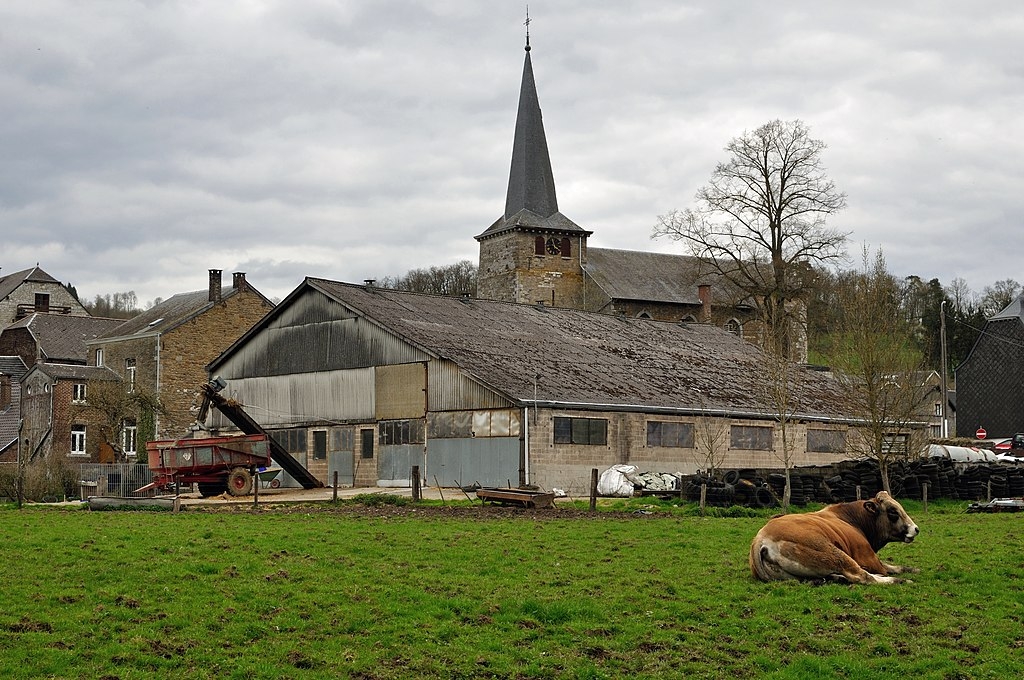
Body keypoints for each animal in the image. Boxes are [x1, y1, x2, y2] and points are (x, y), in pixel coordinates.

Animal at [753, 489, 921, 585]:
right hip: (834, 554)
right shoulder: (869, 559)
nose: (916, 529)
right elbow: (888, 569)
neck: (852, 518)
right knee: (864, 577)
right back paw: (899, 581)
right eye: (893, 511)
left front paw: (913, 569)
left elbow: (897, 567)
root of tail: (761, 538)